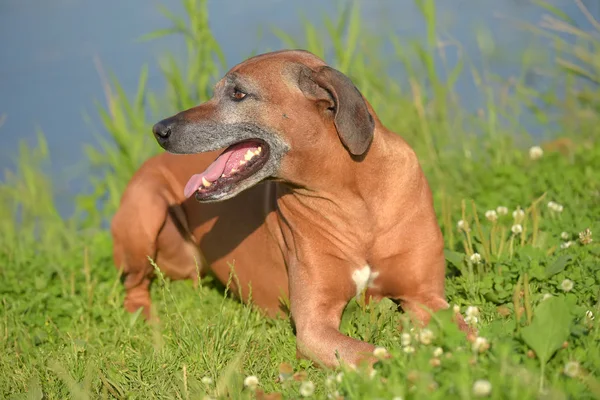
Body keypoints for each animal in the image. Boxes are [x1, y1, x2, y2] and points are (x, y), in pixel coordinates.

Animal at [113, 50, 468, 368]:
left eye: (238, 93)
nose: (159, 130)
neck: (354, 199)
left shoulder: (425, 297)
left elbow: (467, 330)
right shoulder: (314, 326)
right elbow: (372, 355)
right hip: (145, 209)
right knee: (134, 288)